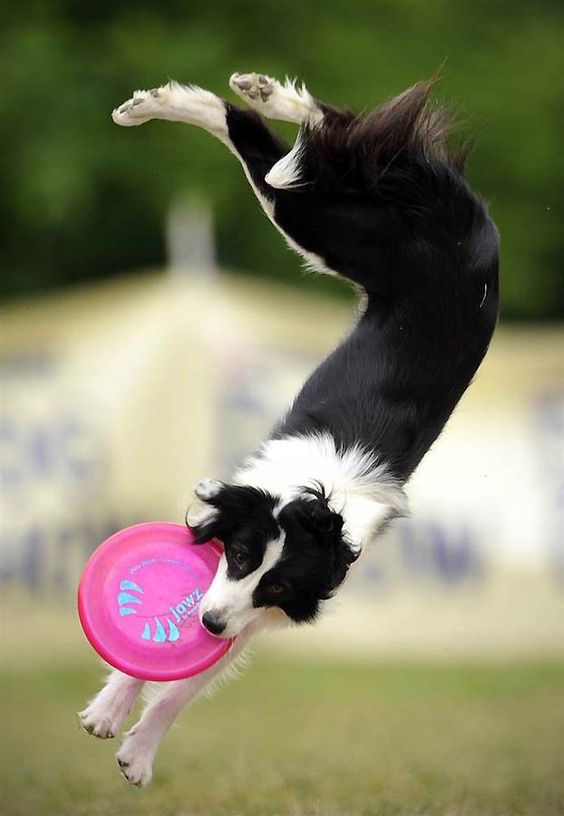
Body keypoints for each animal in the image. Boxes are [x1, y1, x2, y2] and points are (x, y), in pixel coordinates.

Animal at [78, 70, 498, 784]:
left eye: (275, 581)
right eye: (243, 556)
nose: (210, 622)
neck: (314, 502)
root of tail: (465, 210)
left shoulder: (258, 611)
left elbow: (188, 680)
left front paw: (135, 746)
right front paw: (111, 711)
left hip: (339, 228)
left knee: (291, 151)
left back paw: (224, 97)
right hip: (332, 226)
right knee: (304, 147)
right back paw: (210, 98)